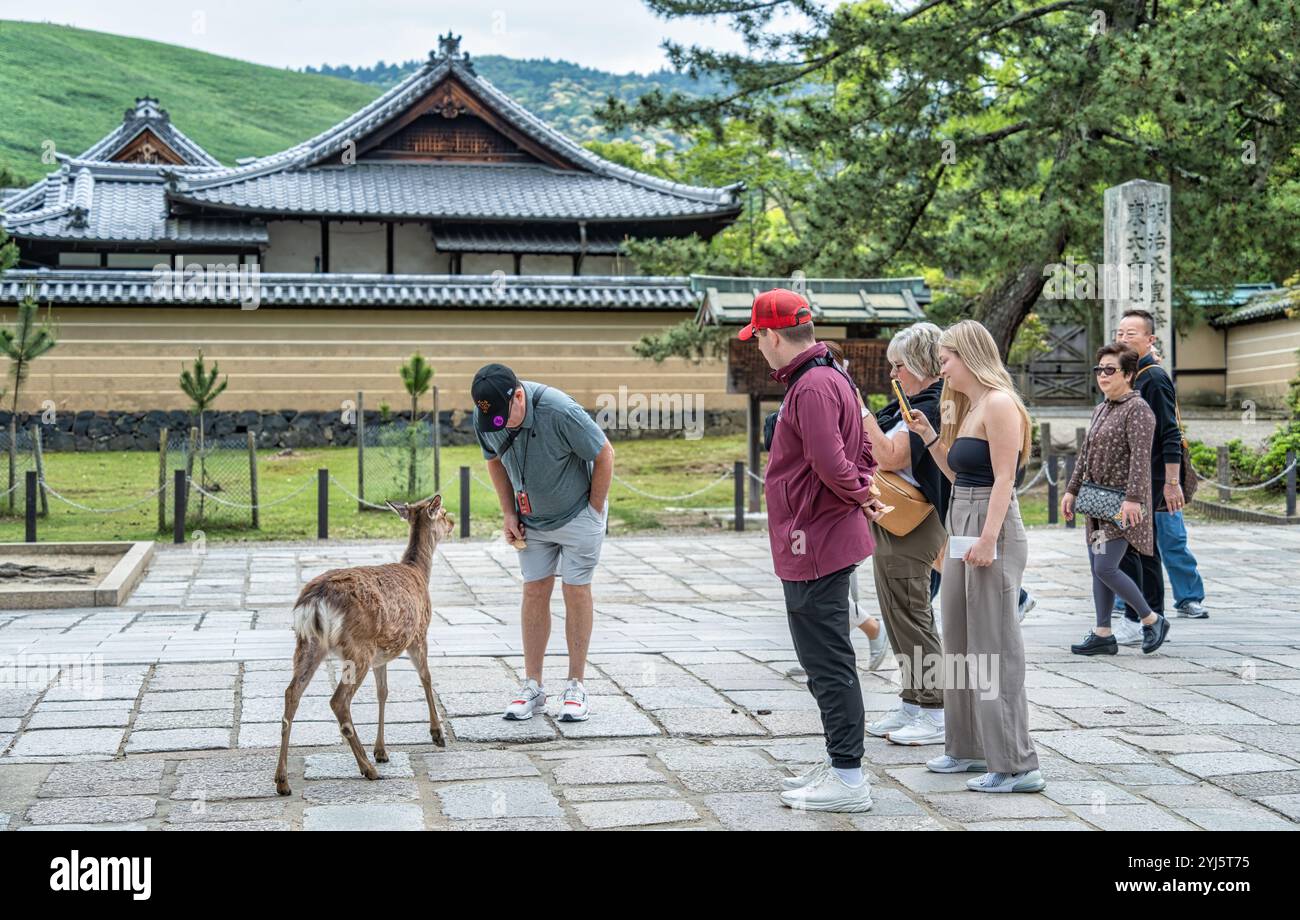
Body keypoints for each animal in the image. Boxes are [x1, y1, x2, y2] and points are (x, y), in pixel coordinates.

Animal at [275, 491, 457, 795]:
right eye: (442, 513)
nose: (453, 522)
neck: (419, 573)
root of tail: (314, 601)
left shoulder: (382, 655)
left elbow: (383, 692)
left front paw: (381, 750)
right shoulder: (419, 634)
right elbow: (427, 678)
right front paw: (437, 734)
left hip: (308, 644)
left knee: (292, 693)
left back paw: (282, 781)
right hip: (357, 648)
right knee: (338, 700)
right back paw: (367, 769)